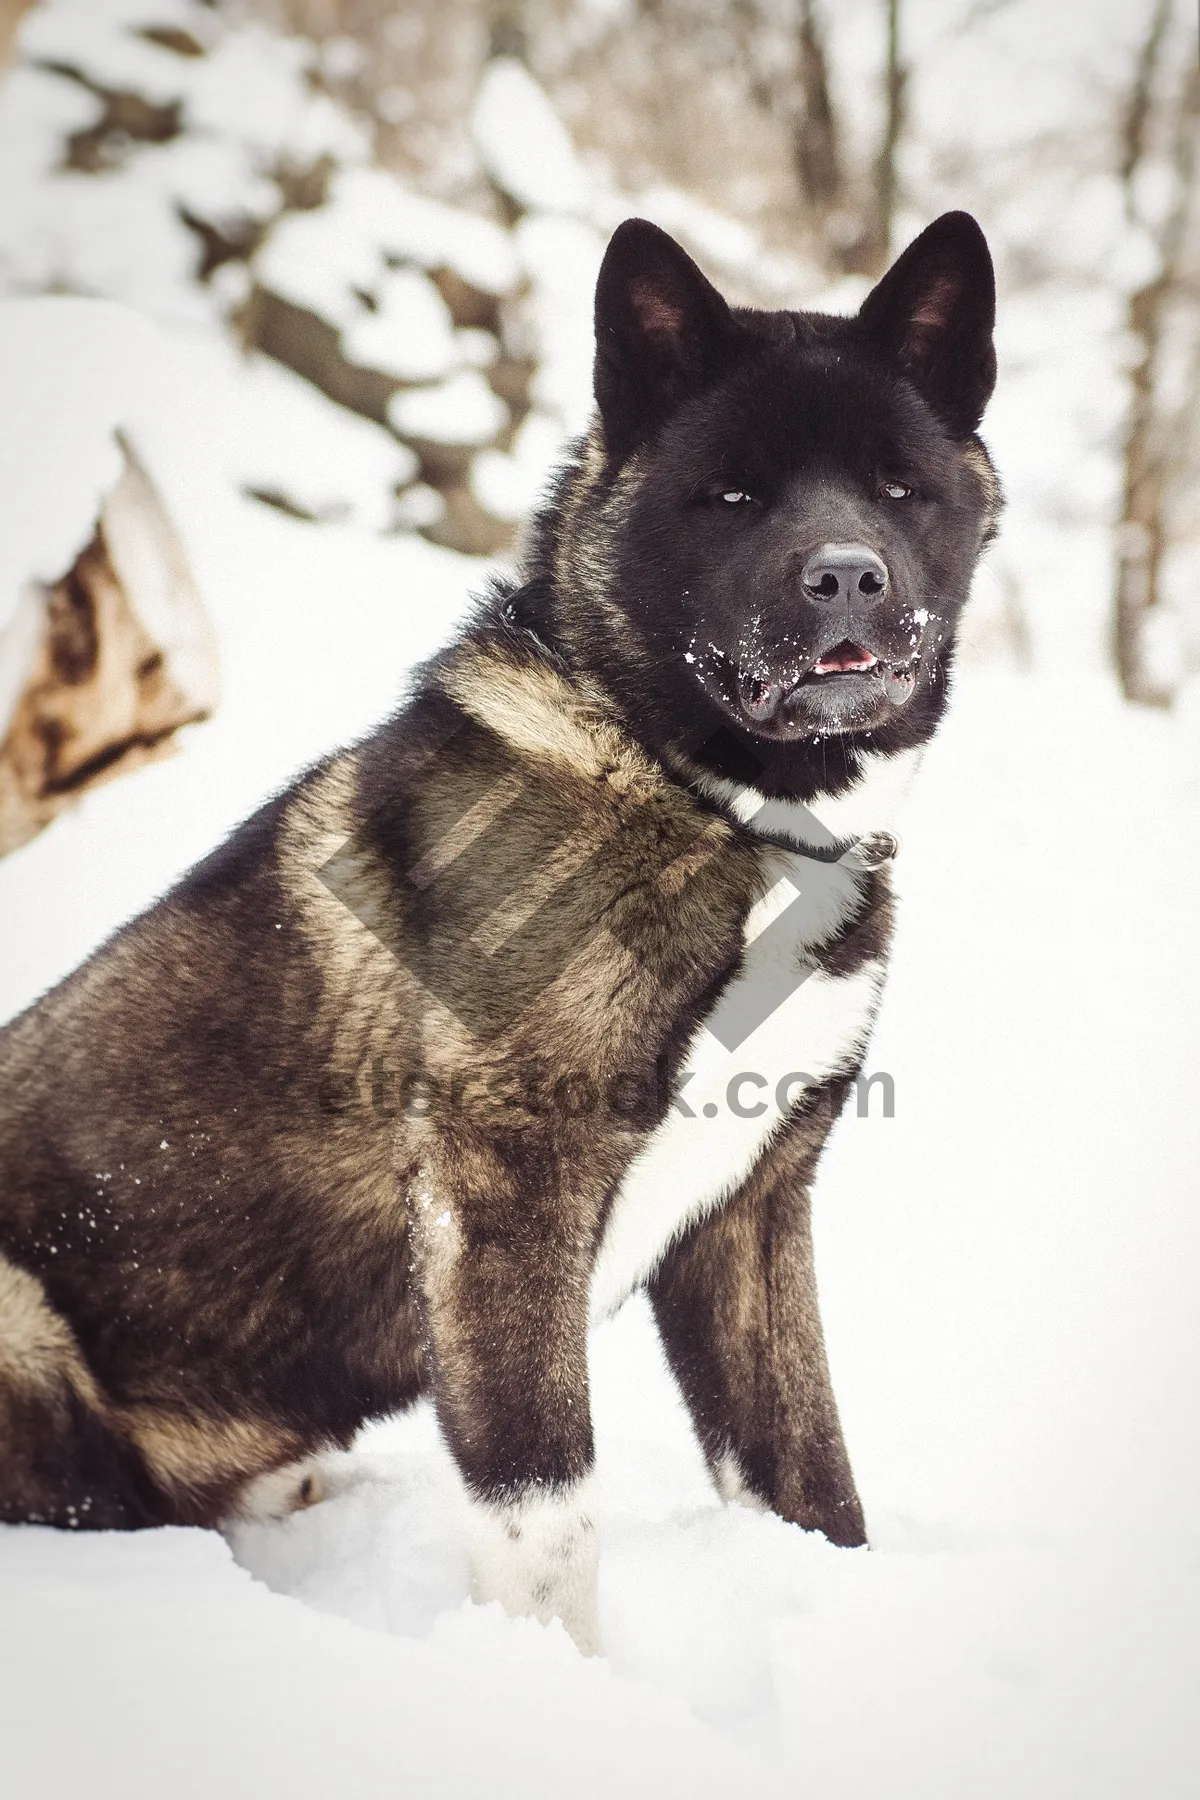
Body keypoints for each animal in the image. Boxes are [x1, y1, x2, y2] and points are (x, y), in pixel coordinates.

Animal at [0, 207, 993, 1648]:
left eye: (898, 486)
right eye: (733, 495)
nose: (849, 578)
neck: (709, 799)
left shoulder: (751, 1216)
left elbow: (814, 1482)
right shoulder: (504, 1195)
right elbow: (546, 1515)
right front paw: (553, 1684)